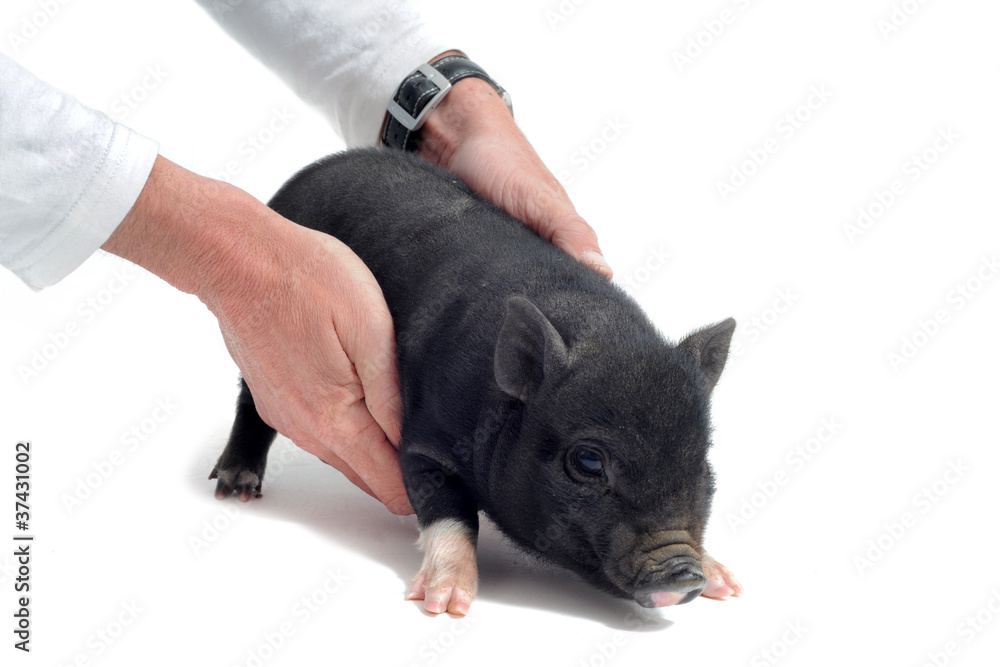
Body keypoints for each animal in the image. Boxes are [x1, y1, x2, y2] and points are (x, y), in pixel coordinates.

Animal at [210, 148, 742, 615]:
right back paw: (235, 489)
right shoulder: (422, 438)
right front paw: (446, 604)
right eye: (588, 461)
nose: (684, 573)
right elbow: (451, 510)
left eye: (702, 460)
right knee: (252, 403)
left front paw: (727, 585)